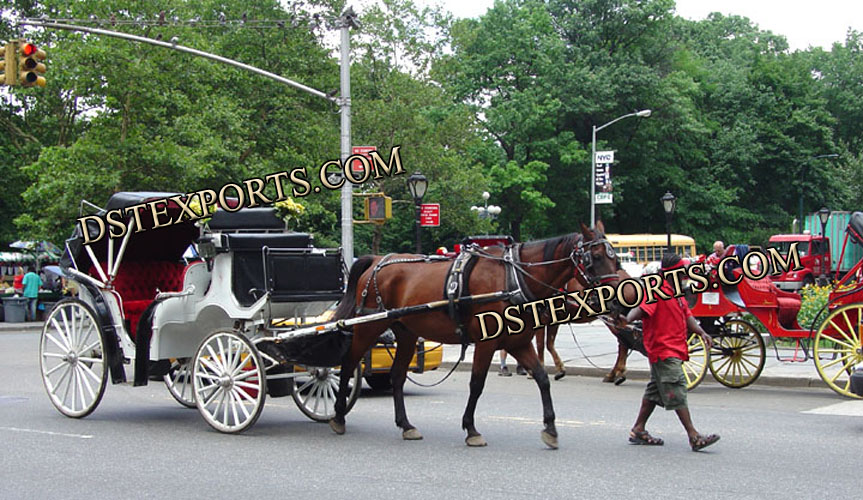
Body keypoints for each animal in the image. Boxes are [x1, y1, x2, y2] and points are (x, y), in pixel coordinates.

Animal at [328, 225, 616, 448]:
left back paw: (406, 425)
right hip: (369, 327)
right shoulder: (486, 344)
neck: (513, 279)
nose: (616, 296)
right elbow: (477, 384)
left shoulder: (519, 343)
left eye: (615, 257)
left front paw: (551, 429)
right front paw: (471, 429)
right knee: (347, 366)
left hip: (406, 332)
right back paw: (338, 416)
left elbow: (542, 379)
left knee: (397, 376)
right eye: (596, 256)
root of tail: (377, 260)